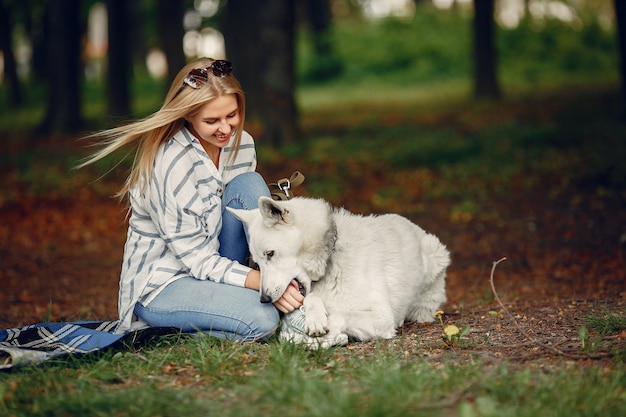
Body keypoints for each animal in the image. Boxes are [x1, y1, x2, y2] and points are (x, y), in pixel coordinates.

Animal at [229, 197, 448, 346]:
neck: (330, 258)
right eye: (257, 263)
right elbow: (312, 298)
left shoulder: (382, 316)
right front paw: (316, 318)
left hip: (434, 254)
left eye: (270, 253)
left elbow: (340, 314)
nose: (264, 299)